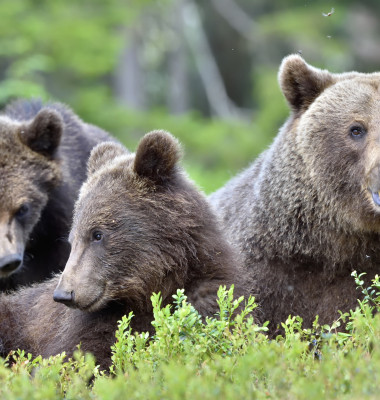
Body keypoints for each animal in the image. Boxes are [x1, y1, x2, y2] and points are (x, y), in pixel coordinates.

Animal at [0, 130, 246, 368]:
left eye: (97, 234)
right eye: (72, 238)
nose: (63, 294)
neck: (152, 286)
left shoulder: (209, 296)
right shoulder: (87, 326)